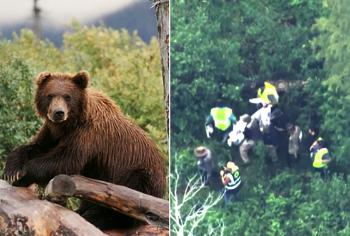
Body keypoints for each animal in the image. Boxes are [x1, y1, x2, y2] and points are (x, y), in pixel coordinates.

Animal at [2, 71, 167, 228]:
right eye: (50, 95)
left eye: (67, 96)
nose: (58, 113)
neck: (69, 124)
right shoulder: (52, 132)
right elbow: (36, 146)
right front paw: (12, 170)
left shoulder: (87, 135)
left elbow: (65, 160)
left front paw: (23, 175)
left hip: (140, 174)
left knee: (133, 197)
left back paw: (97, 218)